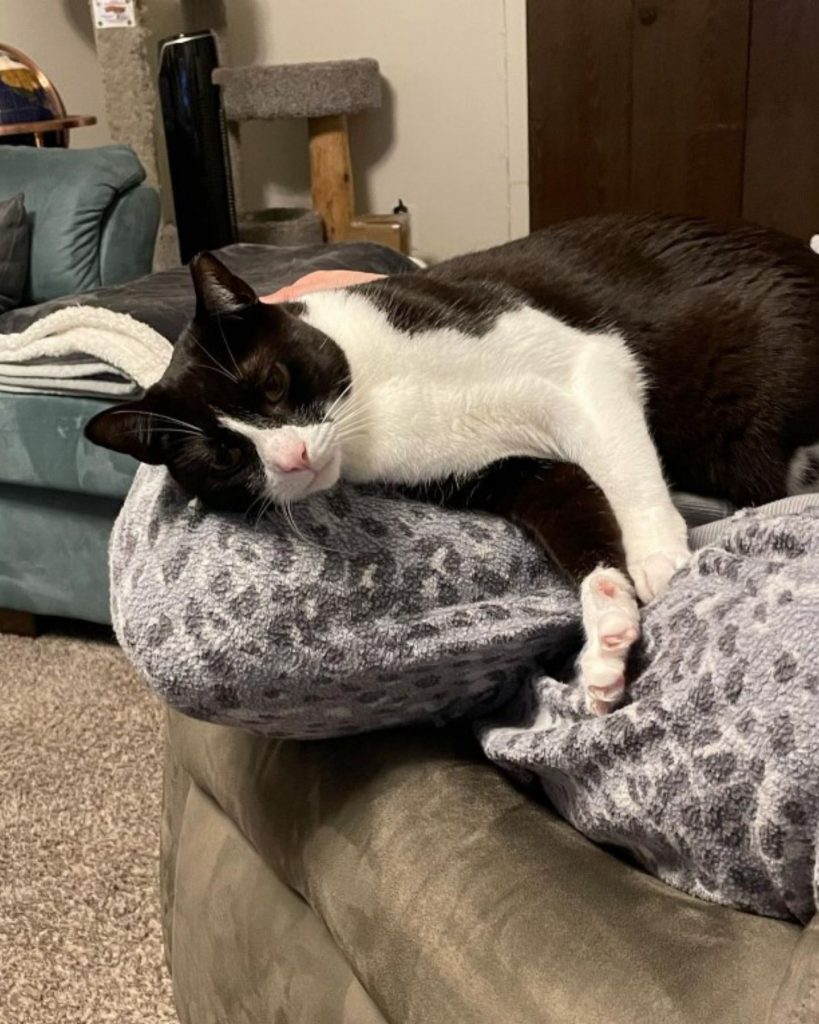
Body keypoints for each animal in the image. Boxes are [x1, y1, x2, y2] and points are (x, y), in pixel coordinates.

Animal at [86, 212, 818, 716]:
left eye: (271, 385)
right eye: (226, 455)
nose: (291, 456)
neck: (372, 405)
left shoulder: (588, 362)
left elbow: (622, 461)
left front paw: (657, 557)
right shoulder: (504, 472)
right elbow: (572, 509)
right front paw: (607, 631)